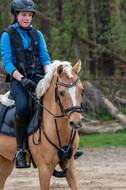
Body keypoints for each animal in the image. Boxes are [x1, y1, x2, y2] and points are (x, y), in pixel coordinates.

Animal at [0, 59, 83, 190]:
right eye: (61, 93)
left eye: (81, 90)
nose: (77, 122)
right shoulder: (44, 169)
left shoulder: (69, 164)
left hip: (5, 161)